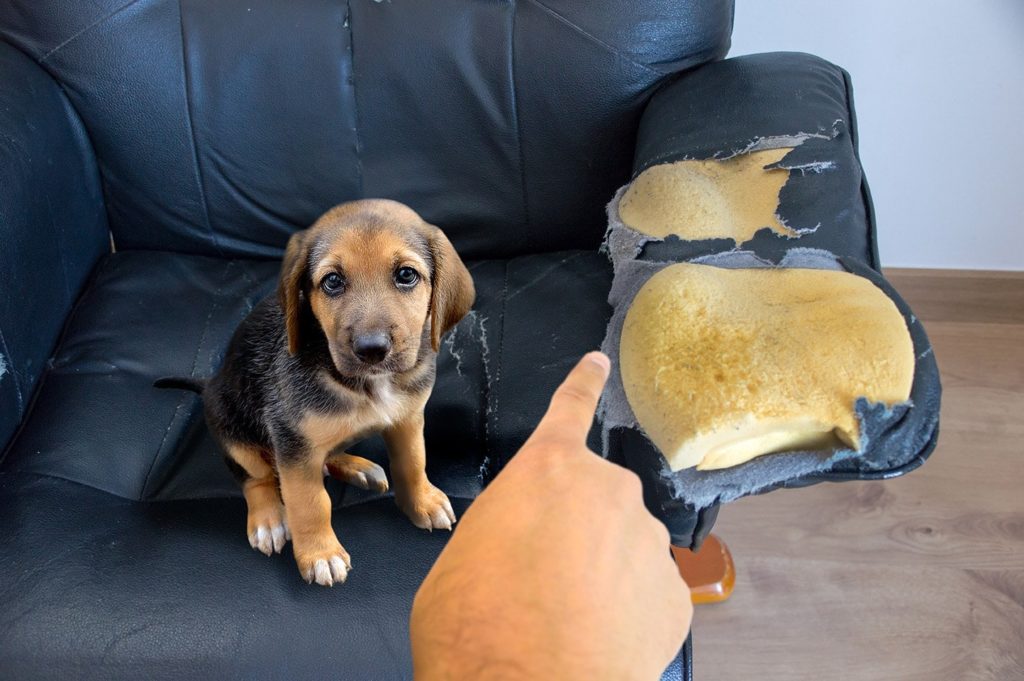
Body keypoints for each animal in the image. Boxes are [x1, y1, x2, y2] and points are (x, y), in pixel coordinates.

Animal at [156, 197, 475, 585]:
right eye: (332, 281)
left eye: (406, 275)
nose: (372, 350)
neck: (367, 384)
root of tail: (209, 384)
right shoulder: (292, 441)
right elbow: (309, 502)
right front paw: (320, 553)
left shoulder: (408, 418)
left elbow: (413, 463)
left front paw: (422, 502)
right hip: (232, 430)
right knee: (256, 478)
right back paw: (268, 519)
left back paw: (357, 467)